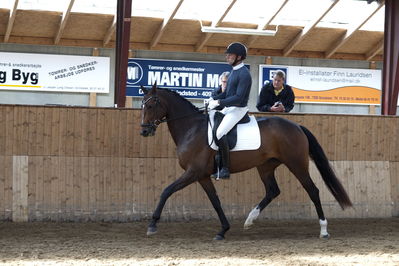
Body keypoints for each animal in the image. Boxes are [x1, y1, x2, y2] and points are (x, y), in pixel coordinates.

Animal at [141, 84, 354, 240]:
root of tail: (296, 126)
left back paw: (323, 230)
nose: (144, 131)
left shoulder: (193, 172)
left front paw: (152, 225)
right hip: (265, 166)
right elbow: (215, 201)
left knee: (313, 190)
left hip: (296, 164)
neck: (191, 128)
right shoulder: (202, 176)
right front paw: (223, 230)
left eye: (151, 106)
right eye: (142, 106)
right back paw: (250, 220)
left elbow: (166, 191)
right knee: (272, 191)